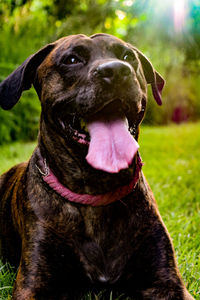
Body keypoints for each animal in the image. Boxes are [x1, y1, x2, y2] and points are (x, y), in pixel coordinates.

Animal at [0, 34, 194, 298]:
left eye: (128, 57)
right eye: (72, 59)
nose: (117, 70)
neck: (96, 189)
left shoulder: (166, 281)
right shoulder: (33, 284)